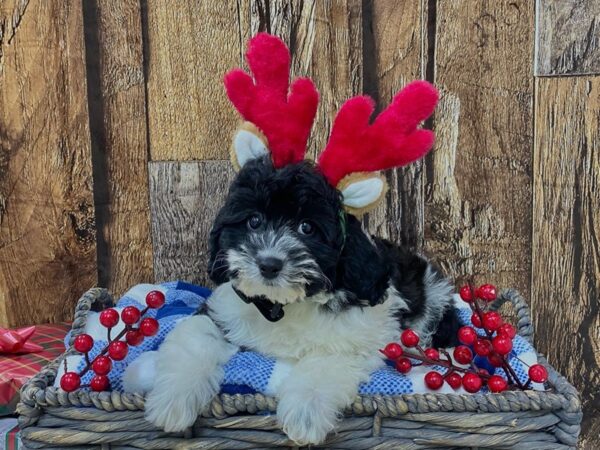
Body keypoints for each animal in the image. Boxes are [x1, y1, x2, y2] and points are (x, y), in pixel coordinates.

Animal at [142, 156, 460, 444]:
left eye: (307, 227)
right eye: (254, 221)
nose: (269, 264)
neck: (283, 304)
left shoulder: (359, 338)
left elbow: (324, 363)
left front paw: (304, 415)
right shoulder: (221, 309)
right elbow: (197, 337)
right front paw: (172, 401)